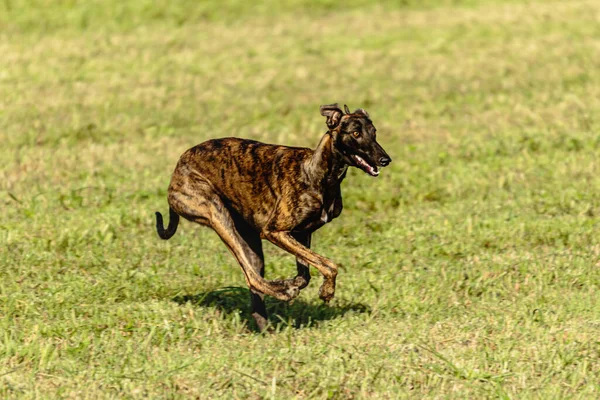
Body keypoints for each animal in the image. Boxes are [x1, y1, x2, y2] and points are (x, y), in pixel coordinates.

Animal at [155, 104, 392, 332]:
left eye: (374, 132)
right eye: (355, 133)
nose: (385, 160)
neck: (316, 172)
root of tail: (178, 167)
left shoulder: (302, 233)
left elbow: (305, 273)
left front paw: (293, 282)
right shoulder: (274, 231)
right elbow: (329, 265)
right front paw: (325, 291)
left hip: (250, 242)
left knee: (254, 280)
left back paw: (267, 325)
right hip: (218, 217)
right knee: (252, 276)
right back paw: (283, 293)